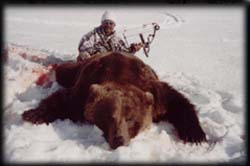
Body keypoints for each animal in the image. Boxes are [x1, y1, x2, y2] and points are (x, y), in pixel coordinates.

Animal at [22, 51, 207, 149]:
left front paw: (195, 135)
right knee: (64, 70)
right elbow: (61, 100)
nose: (119, 140)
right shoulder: (83, 92)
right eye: (108, 117)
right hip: (76, 70)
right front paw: (33, 114)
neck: (121, 76)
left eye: (131, 119)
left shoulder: (155, 92)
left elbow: (179, 102)